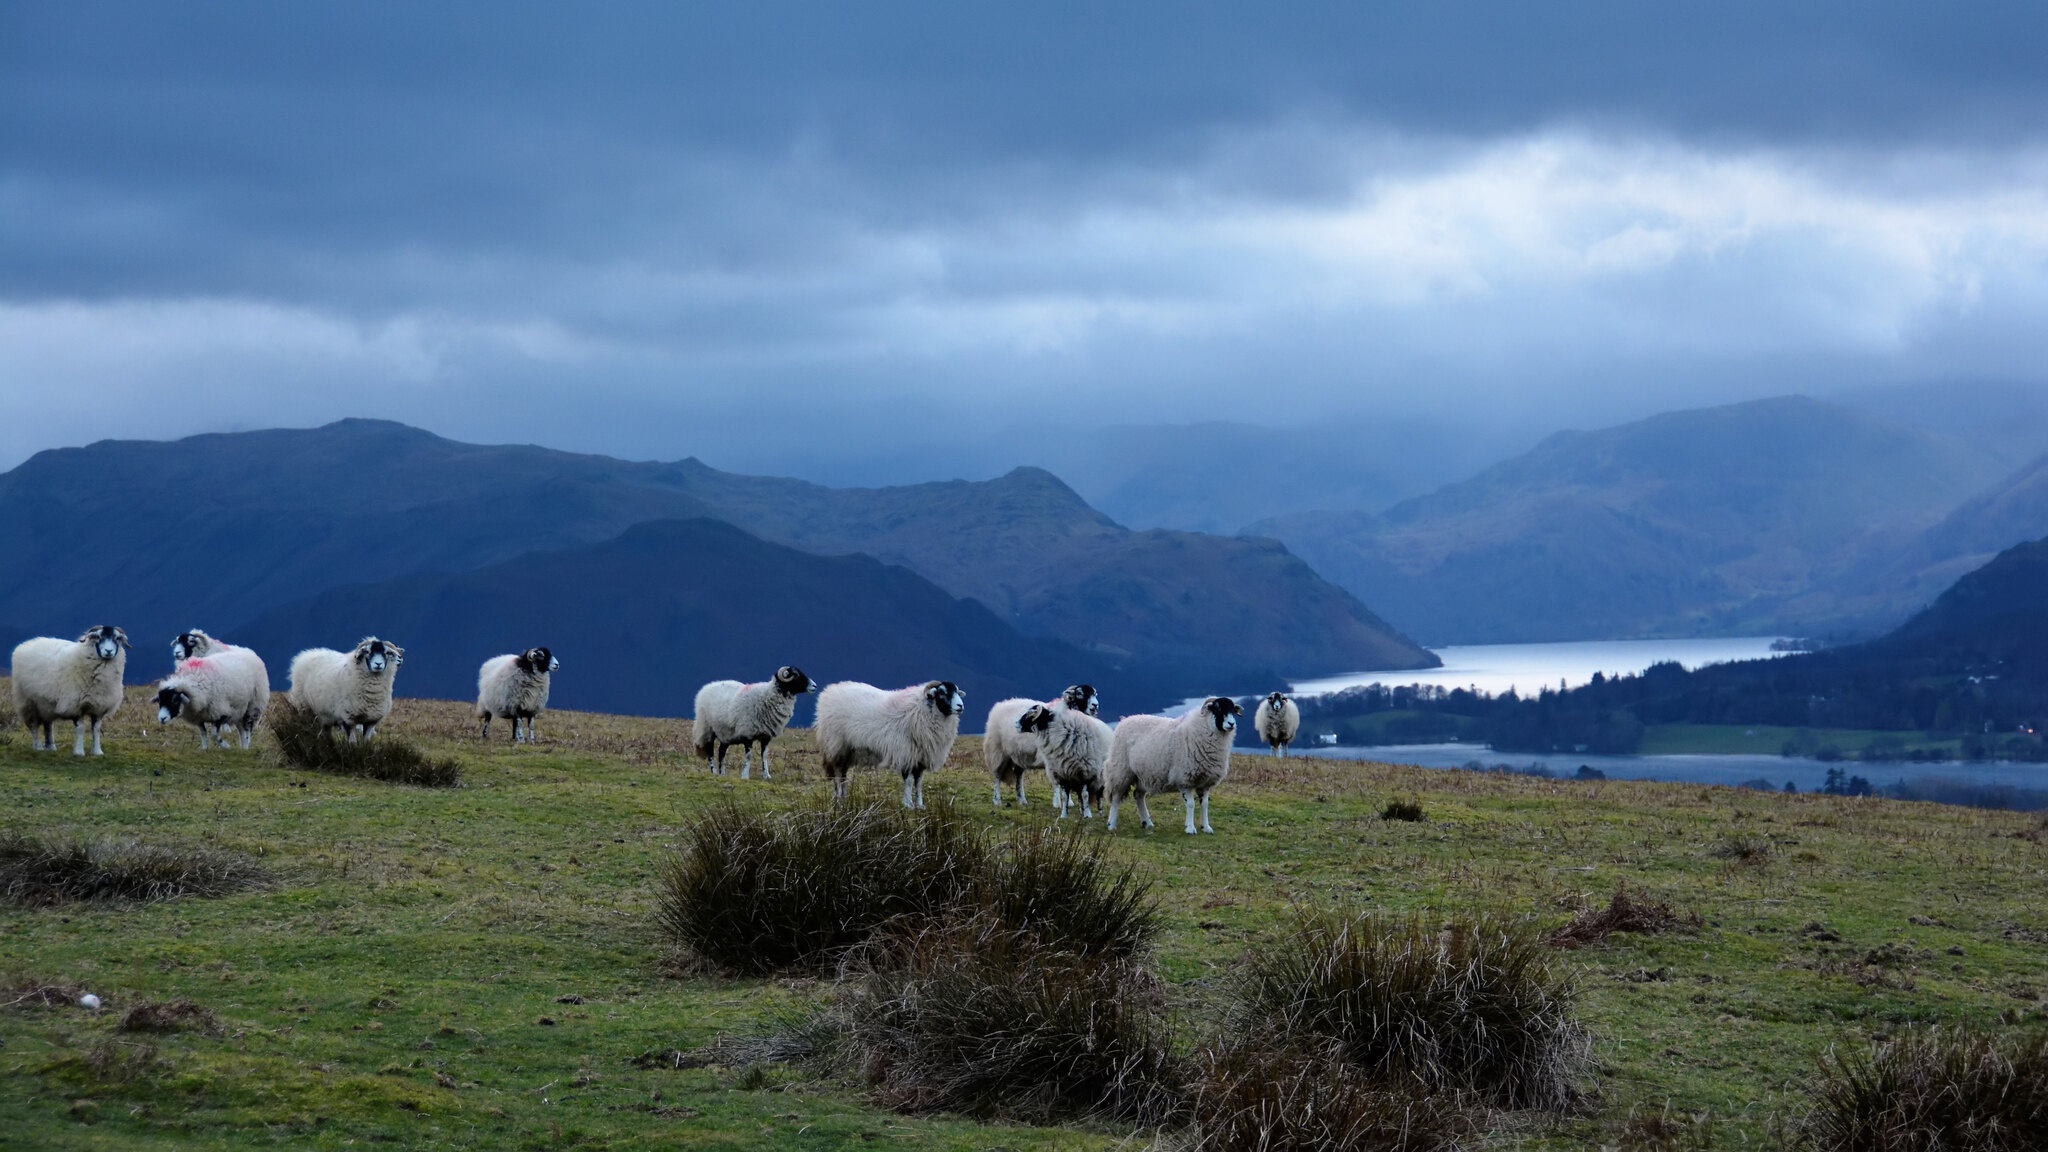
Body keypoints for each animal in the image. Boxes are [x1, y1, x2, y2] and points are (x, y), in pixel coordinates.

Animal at [815, 676, 966, 803]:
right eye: (942, 692)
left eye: (957, 692)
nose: (960, 706)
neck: (920, 709)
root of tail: (830, 691)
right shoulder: (906, 753)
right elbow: (908, 781)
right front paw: (908, 804)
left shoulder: (920, 757)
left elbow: (918, 783)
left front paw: (920, 805)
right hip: (835, 745)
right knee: (837, 774)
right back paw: (838, 798)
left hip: (847, 751)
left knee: (843, 774)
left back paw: (844, 797)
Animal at [1105, 696, 1245, 828]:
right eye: (1218, 708)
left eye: (1233, 710)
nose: (1231, 724)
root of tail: (1125, 719)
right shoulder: (1185, 779)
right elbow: (1190, 804)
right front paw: (1190, 828)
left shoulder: (1206, 782)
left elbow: (1205, 805)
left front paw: (1206, 827)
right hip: (1121, 770)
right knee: (1116, 797)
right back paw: (1111, 824)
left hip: (1143, 775)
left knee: (1138, 795)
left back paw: (1147, 823)